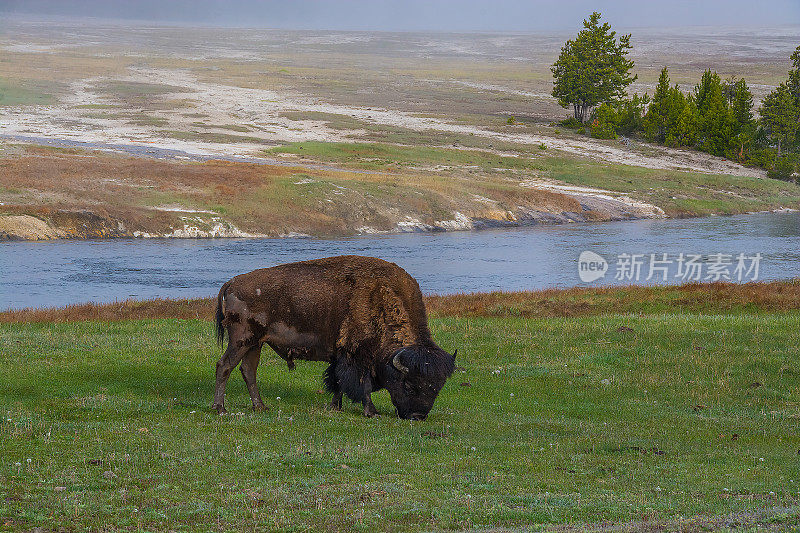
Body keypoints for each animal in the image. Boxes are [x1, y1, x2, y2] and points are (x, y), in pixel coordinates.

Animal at [212, 256, 454, 418]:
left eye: (437, 388)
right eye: (410, 385)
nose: (417, 417)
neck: (383, 299)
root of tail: (232, 282)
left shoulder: (339, 357)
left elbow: (337, 381)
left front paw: (335, 406)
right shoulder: (357, 357)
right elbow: (362, 386)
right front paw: (371, 412)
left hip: (255, 344)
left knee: (248, 371)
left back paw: (260, 406)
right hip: (241, 340)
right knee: (224, 366)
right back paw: (220, 408)